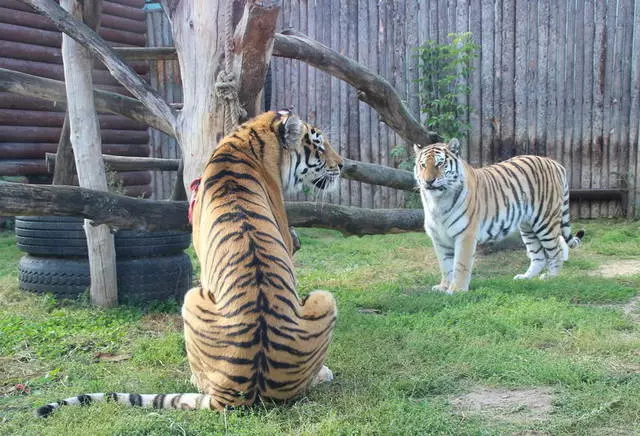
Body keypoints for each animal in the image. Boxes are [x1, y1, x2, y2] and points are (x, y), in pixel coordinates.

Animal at [412, 139, 584, 296]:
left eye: (440, 164)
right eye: (423, 165)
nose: (428, 181)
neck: (437, 202)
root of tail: (555, 163)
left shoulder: (465, 235)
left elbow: (460, 264)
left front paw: (457, 290)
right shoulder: (439, 238)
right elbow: (445, 265)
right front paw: (443, 287)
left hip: (545, 222)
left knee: (556, 252)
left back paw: (551, 278)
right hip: (528, 227)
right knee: (539, 256)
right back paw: (525, 277)